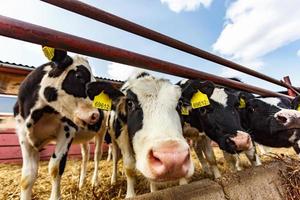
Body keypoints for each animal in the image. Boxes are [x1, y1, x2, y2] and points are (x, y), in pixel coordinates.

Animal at [13, 48, 103, 200]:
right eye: (79, 76)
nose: (96, 114)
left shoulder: (67, 130)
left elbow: (55, 167)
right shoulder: (23, 135)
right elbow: (27, 177)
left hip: (103, 132)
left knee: (97, 156)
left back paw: (95, 181)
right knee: (86, 155)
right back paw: (81, 184)